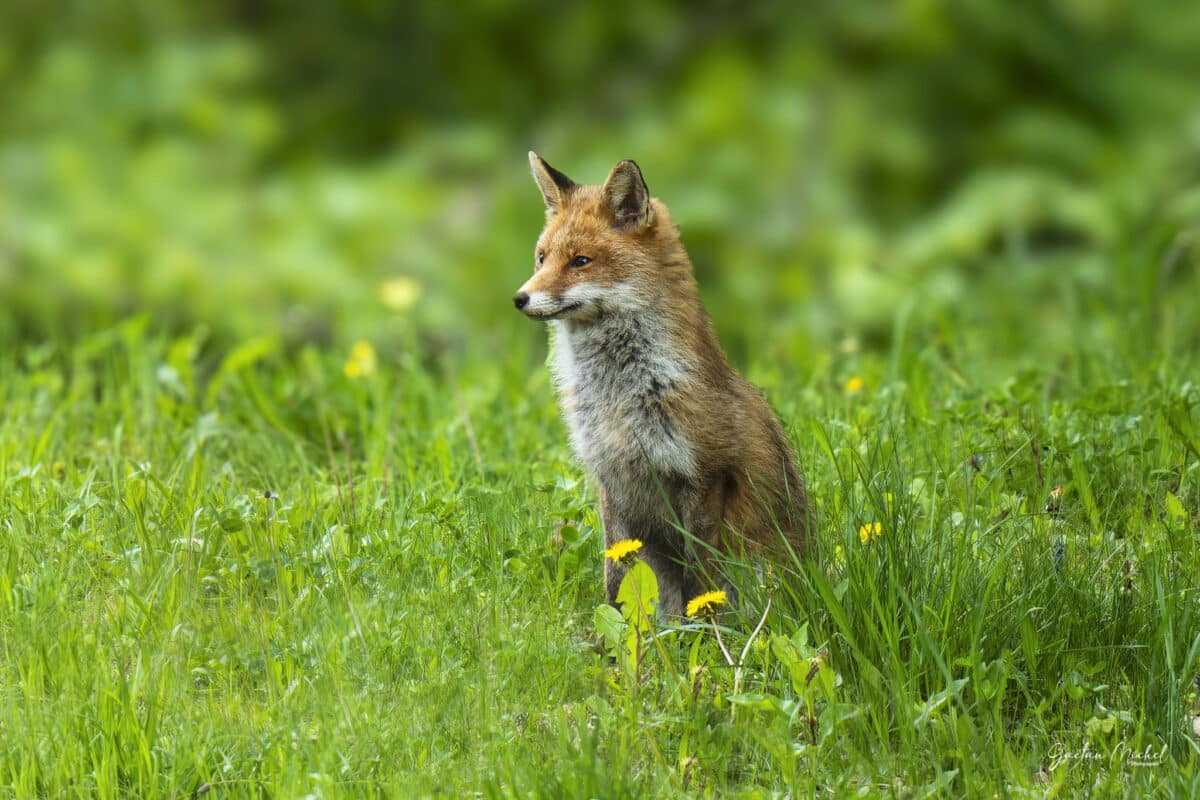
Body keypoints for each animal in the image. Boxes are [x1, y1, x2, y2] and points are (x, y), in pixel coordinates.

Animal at [515, 152, 809, 617]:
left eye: (580, 261)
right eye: (541, 258)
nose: (520, 298)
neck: (619, 399)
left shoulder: (704, 476)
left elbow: (700, 576)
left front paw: (703, 630)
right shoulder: (611, 480)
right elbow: (615, 577)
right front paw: (616, 631)